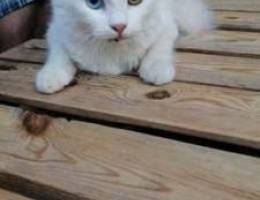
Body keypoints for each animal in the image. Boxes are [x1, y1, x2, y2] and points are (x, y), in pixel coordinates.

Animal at [36, 0, 211, 94]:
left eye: (135, 0)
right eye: (93, 2)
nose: (119, 26)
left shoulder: (167, 24)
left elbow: (160, 46)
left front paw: (156, 68)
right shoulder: (55, 28)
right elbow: (59, 52)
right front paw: (51, 74)